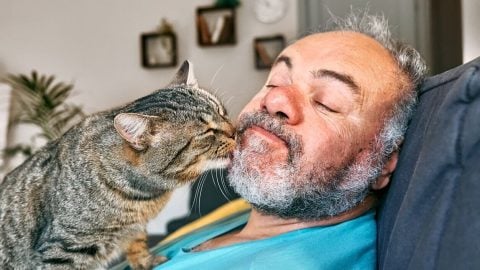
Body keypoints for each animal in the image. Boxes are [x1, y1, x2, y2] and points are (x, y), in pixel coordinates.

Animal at [0, 61, 236, 270]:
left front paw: (145, 262)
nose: (235, 131)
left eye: (222, 112)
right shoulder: (63, 249)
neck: (145, 196)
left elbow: (137, 243)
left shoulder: (135, 226)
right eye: (207, 132)